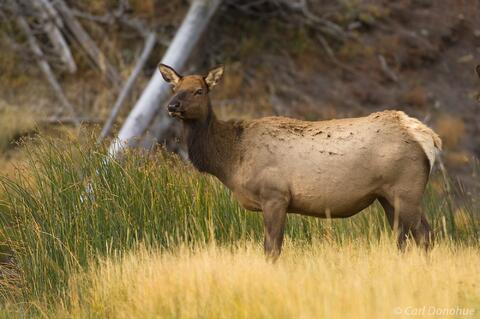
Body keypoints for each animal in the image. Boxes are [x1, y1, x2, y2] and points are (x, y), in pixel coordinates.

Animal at [158, 63, 442, 262]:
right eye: (174, 88)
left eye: (199, 91)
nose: (172, 106)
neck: (231, 159)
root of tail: (429, 137)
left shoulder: (275, 195)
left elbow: (272, 249)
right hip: (387, 196)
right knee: (404, 237)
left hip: (406, 190)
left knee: (424, 234)